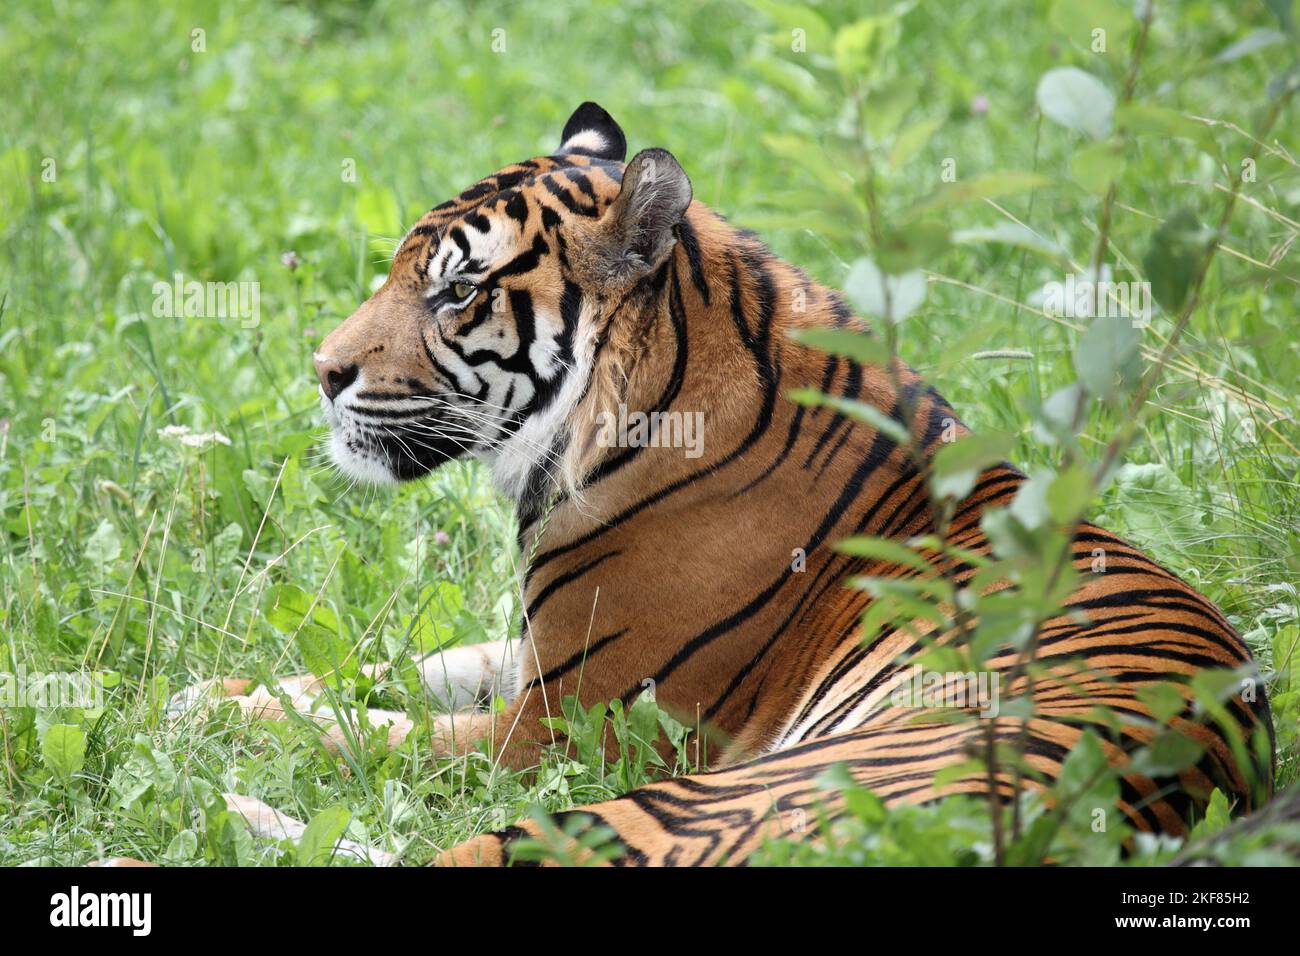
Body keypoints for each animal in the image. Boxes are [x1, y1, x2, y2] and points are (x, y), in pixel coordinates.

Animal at [192, 100, 1268, 863]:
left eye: (456, 290)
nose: (323, 370)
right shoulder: (542, 654)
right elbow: (400, 670)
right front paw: (215, 688)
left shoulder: (564, 725)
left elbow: (372, 729)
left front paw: (215, 717)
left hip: (661, 804)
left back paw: (226, 809)